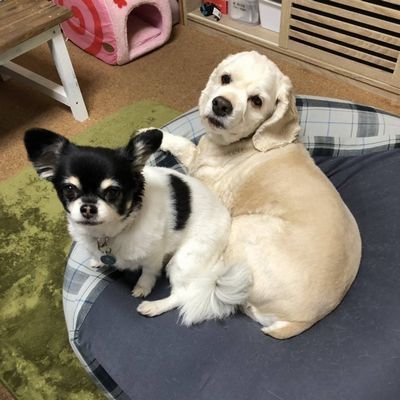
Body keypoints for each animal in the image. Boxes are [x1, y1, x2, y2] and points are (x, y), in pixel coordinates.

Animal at [24, 128, 251, 325]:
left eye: (112, 192)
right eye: (69, 189)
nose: (88, 207)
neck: (109, 232)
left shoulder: (153, 253)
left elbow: (148, 272)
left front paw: (142, 287)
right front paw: (97, 260)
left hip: (184, 260)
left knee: (182, 295)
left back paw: (155, 306)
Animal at [146, 51, 362, 339]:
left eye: (256, 101)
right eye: (225, 78)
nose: (221, 105)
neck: (242, 143)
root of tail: (300, 321)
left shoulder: (201, 182)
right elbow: (184, 144)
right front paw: (152, 134)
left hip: (241, 231)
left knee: (193, 287)